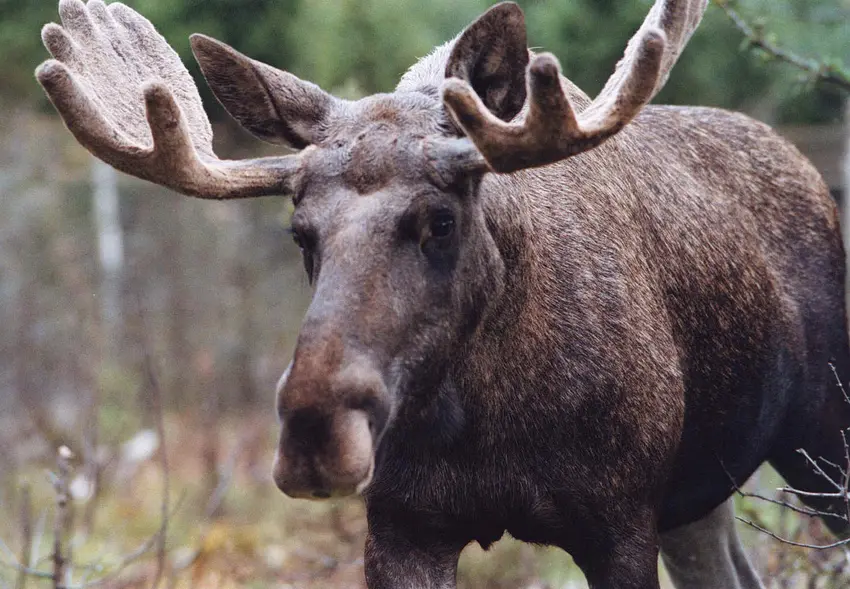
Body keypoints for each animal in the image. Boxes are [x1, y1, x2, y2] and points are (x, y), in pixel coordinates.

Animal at [36, 1, 850, 587]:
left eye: (440, 219)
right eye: (300, 232)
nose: (314, 432)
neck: (488, 415)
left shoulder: (617, 521)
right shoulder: (403, 527)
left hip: (819, 439)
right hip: (698, 495)